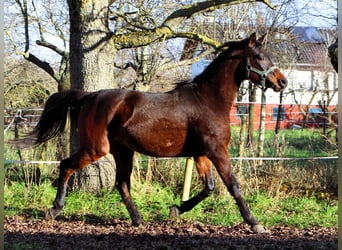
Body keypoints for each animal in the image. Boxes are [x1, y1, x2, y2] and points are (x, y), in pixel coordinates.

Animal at [26, 32, 286, 233]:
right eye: (259, 57)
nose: (282, 82)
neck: (208, 101)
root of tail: (89, 96)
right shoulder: (217, 151)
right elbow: (233, 186)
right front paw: (254, 223)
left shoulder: (201, 153)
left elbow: (209, 188)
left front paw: (175, 210)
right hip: (95, 149)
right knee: (66, 165)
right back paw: (55, 209)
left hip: (123, 151)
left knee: (121, 183)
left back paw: (138, 219)